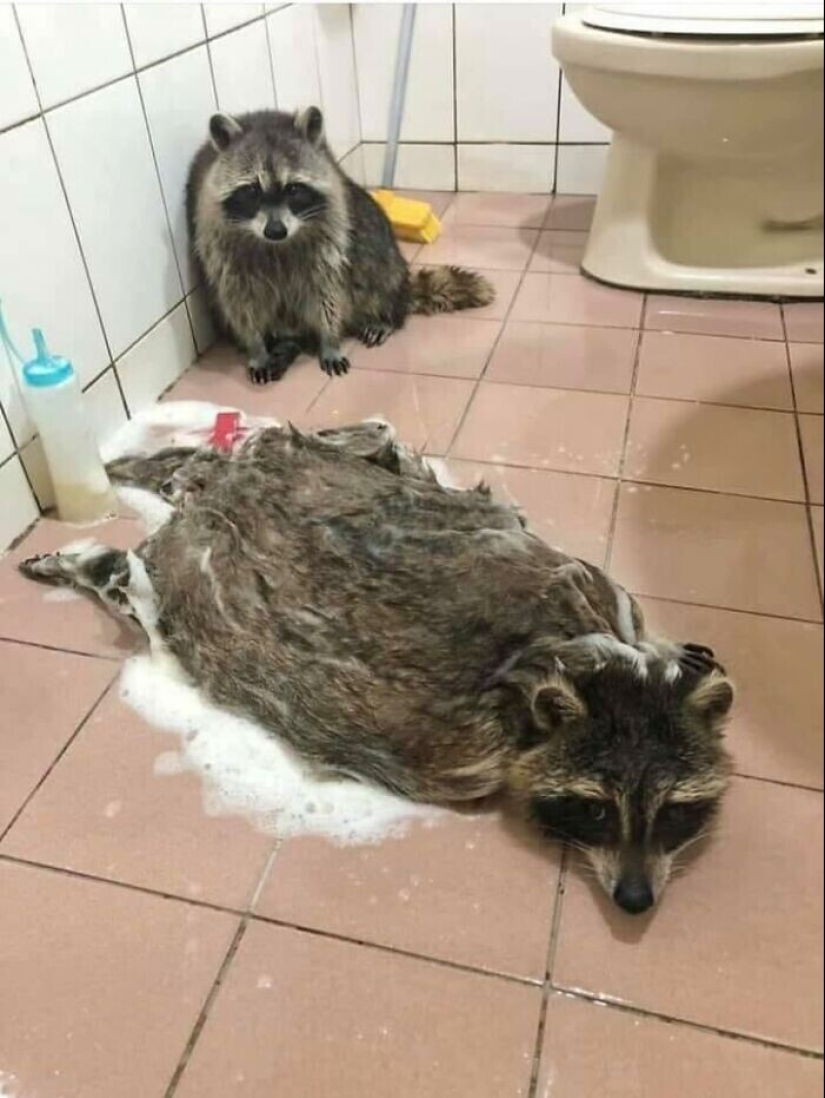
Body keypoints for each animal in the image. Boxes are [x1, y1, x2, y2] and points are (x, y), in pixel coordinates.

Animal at [20, 421, 733, 916]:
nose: (635, 900)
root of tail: (214, 490)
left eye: (675, 814)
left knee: (352, 439)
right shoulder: (477, 743)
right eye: (596, 812)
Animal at [186, 107, 494, 385]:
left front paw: (329, 339)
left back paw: (384, 314)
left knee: (370, 257)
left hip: (370, 233)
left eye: (293, 189)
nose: (276, 230)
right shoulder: (216, 235)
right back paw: (285, 344)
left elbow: (327, 287)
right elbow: (238, 297)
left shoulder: (331, 216)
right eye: (251, 190)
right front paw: (256, 347)